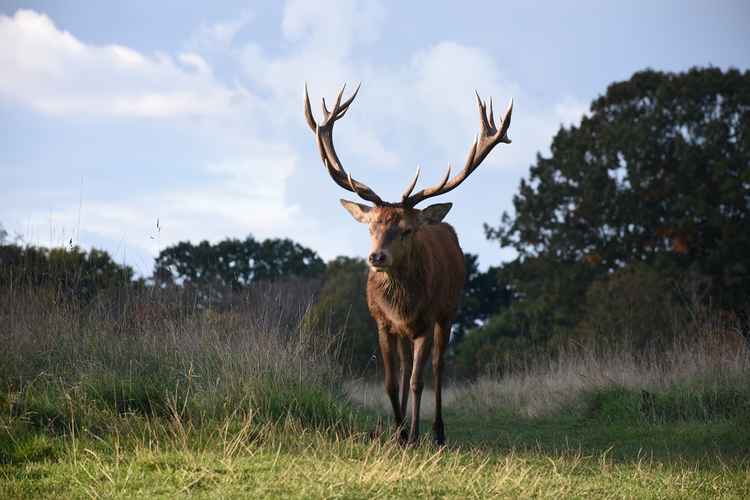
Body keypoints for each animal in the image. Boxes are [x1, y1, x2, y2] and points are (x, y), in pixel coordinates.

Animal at [304, 83, 512, 446]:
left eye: (407, 230)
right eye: (370, 226)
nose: (377, 258)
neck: (402, 307)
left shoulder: (427, 321)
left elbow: (419, 381)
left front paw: (414, 434)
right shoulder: (382, 322)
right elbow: (390, 381)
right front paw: (398, 433)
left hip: (449, 311)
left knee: (438, 367)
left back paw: (437, 432)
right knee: (403, 368)